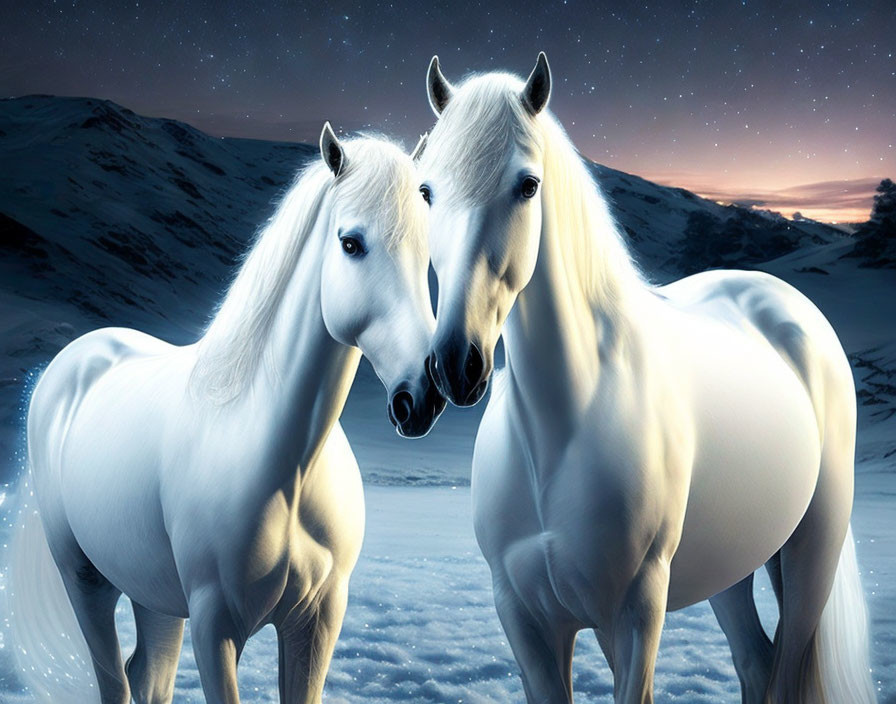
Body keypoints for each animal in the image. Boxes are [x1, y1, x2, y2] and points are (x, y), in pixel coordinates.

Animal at [7, 126, 440, 704]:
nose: (426, 392)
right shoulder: (215, 625)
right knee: (114, 678)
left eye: (428, 250)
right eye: (351, 243)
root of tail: (75, 358)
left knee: (147, 675)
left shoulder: (319, 619)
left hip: (156, 594)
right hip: (85, 579)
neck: (289, 467)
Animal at [418, 53, 876, 704]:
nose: (457, 363)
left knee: (785, 670)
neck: (562, 428)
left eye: (528, 185)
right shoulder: (526, 618)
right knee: (756, 663)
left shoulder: (634, 612)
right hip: (729, 567)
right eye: (426, 190)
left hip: (813, 549)